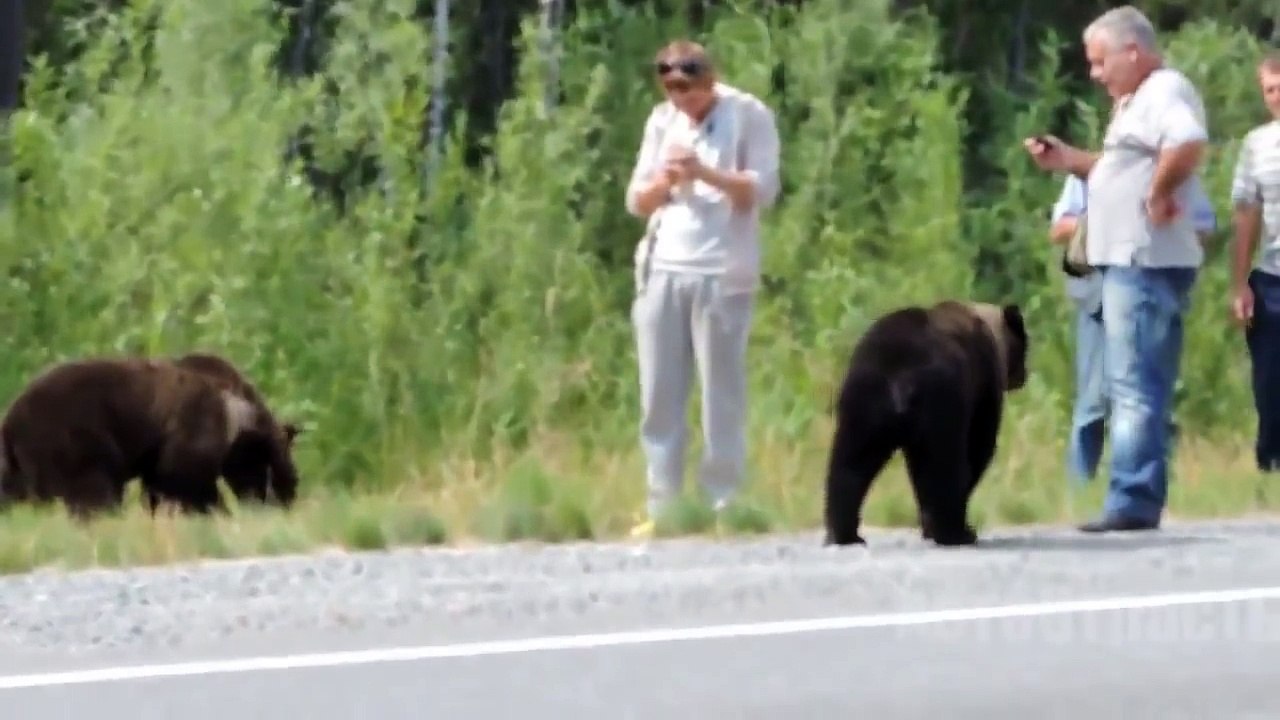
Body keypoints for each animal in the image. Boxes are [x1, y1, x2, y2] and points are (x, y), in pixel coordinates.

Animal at [0, 356, 300, 519]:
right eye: (281, 468)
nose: (288, 499)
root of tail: (10, 420)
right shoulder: (197, 420)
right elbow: (183, 478)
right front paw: (216, 510)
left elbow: (160, 484)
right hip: (72, 436)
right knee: (94, 487)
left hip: (16, 460)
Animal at [822, 299, 1029, 547]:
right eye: (1025, 347)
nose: (1025, 375)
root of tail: (900, 376)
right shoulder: (984, 383)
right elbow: (981, 444)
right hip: (940, 401)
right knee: (944, 465)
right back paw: (956, 533)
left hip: (864, 400)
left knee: (850, 463)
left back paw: (844, 534)